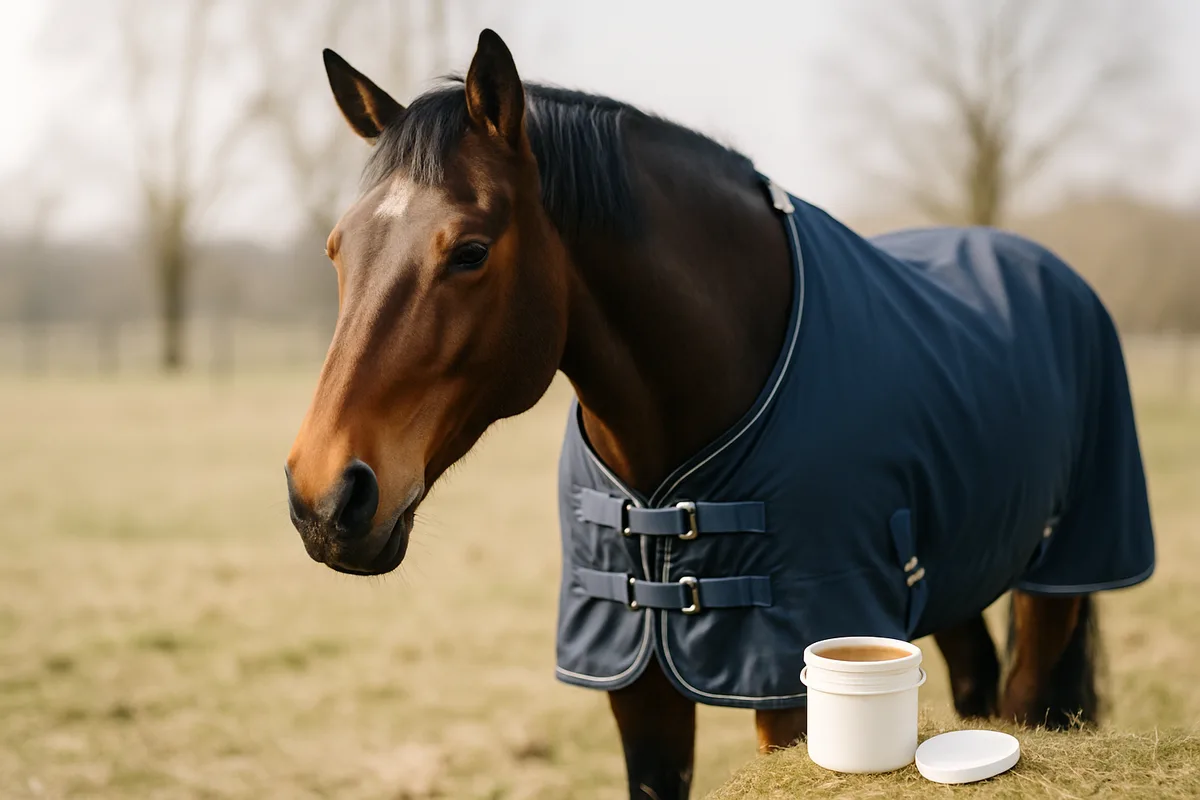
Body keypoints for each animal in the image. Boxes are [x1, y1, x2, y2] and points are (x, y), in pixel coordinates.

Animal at [285, 29, 1155, 799]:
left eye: (469, 252)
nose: (324, 498)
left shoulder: (789, 682)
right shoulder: (636, 680)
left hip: (1060, 575)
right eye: (337, 249)